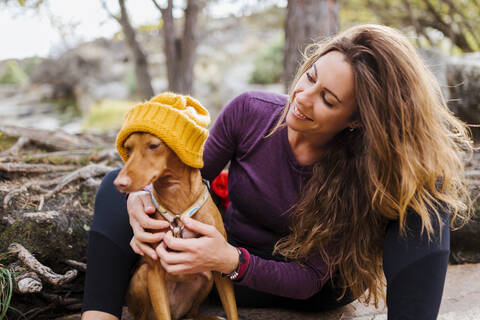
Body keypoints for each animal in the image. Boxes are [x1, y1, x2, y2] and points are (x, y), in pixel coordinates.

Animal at [113, 132, 240, 320]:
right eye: (128, 148)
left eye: (154, 146)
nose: (119, 183)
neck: (177, 195)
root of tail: (177, 313)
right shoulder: (154, 273)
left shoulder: (219, 265)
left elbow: (232, 311)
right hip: (143, 276)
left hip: (207, 277)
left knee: (192, 314)